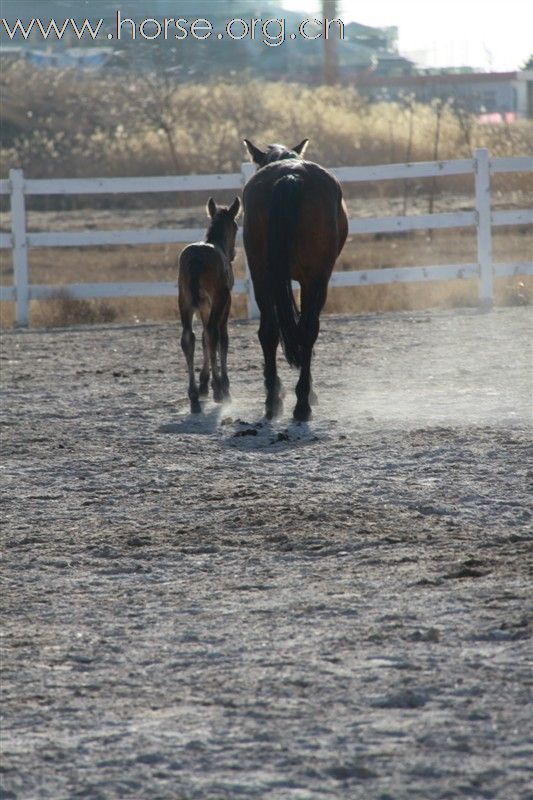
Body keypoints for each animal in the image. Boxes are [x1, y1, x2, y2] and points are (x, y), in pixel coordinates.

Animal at [178, 196, 240, 412]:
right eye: (236, 226)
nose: (233, 254)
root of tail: (195, 259)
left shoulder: (204, 306)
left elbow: (204, 337)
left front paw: (204, 384)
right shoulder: (225, 301)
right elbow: (221, 338)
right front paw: (222, 385)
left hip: (185, 301)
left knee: (189, 337)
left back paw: (194, 396)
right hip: (218, 300)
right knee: (214, 333)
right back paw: (219, 391)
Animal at [242, 140, 350, 422]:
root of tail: (291, 176)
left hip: (261, 274)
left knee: (268, 331)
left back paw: (272, 401)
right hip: (316, 279)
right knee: (309, 330)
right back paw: (302, 404)